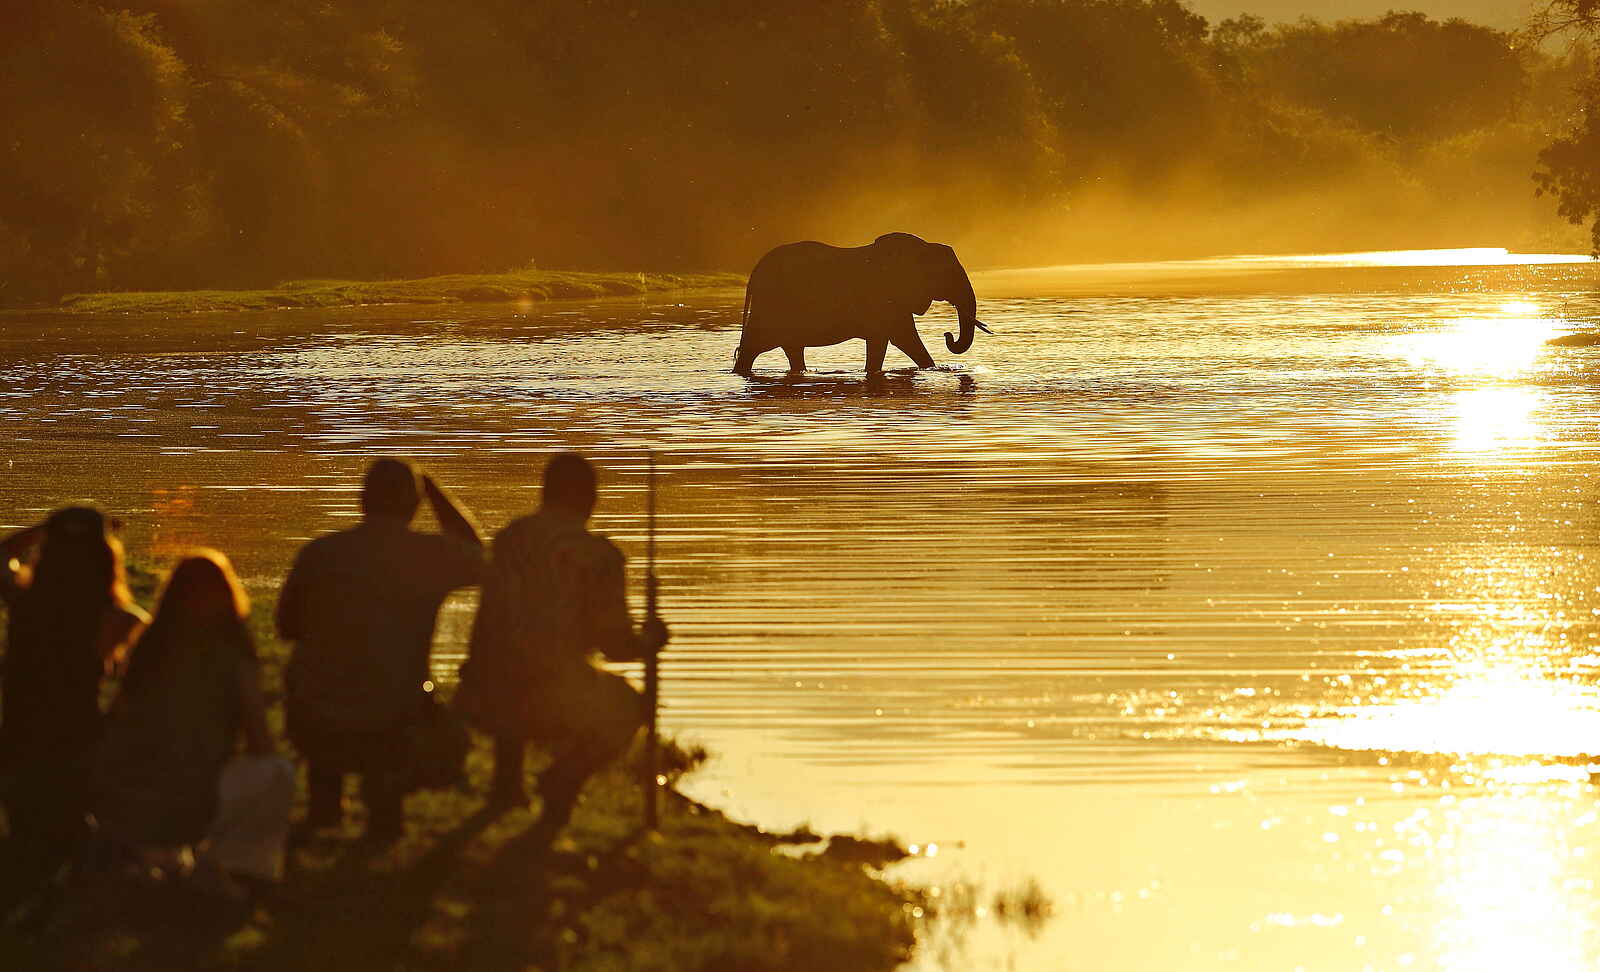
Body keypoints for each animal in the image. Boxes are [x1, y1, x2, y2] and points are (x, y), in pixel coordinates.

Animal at [732, 232, 991, 375]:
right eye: (948, 276)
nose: (947, 335)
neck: (922, 248)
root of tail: (755, 271)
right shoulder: (884, 297)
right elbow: (899, 338)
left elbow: (896, 340)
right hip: (772, 306)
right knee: (754, 347)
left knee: (792, 350)